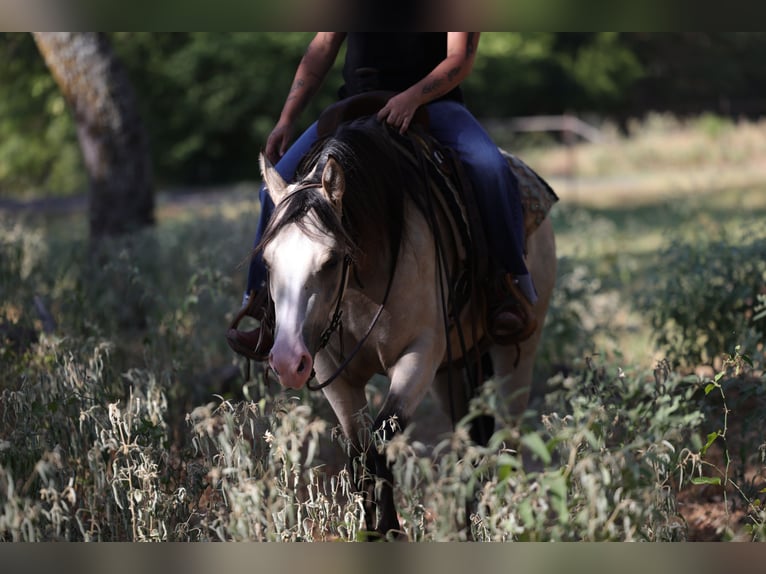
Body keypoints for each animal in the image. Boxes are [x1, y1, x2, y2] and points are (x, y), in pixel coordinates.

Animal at [256, 100, 557, 538]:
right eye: (267, 261)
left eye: (331, 261)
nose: (286, 361)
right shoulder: (334, 371)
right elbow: (361, 456)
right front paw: (372, 530)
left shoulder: (419, 355)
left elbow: (382, 446)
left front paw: (390, 531)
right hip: (453, 369)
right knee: (471, 436)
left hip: (517, 351)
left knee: (509, 436)